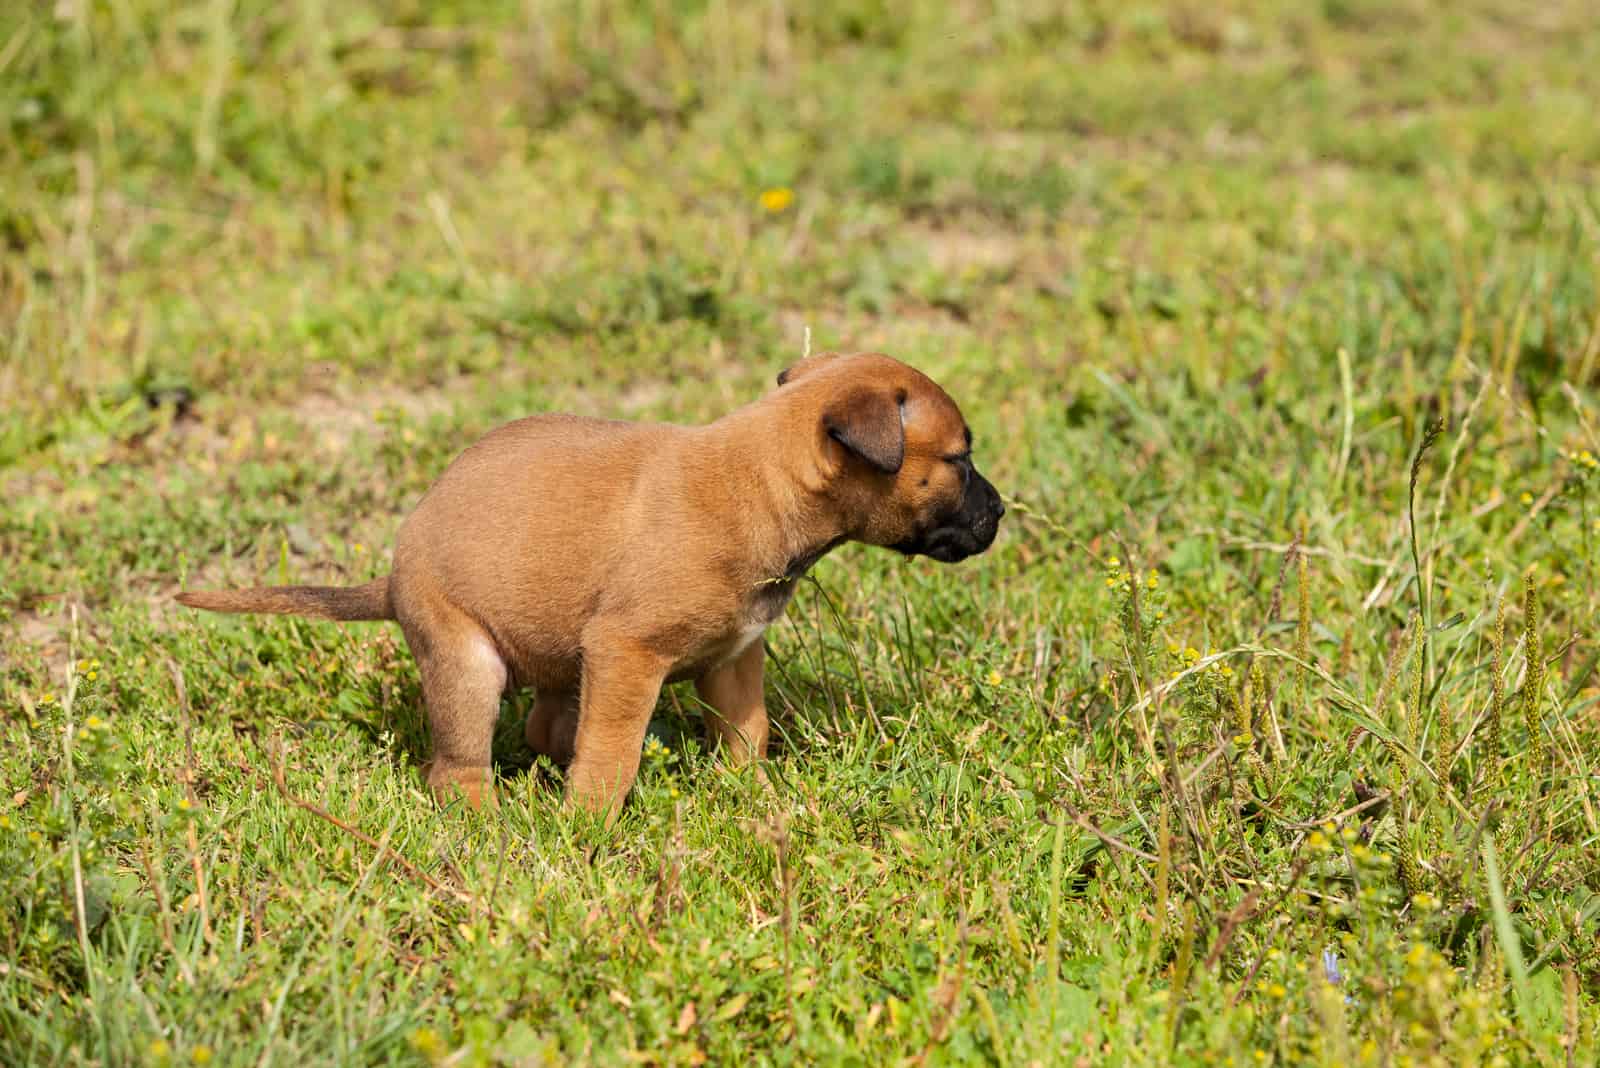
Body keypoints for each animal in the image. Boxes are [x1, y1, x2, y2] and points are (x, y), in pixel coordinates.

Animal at [175, 354, 998, 812]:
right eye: (959, 460)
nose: (999, 513)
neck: (759, 483)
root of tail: (395, 573)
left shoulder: (735, 660)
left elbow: (747, 736)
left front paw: (759, 801)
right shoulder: (626, 652)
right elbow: (612, 755)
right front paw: (589, 830)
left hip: (558, 659)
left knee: (546, 729)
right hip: (466, 663)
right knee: (456, 769)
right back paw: (489, 824)